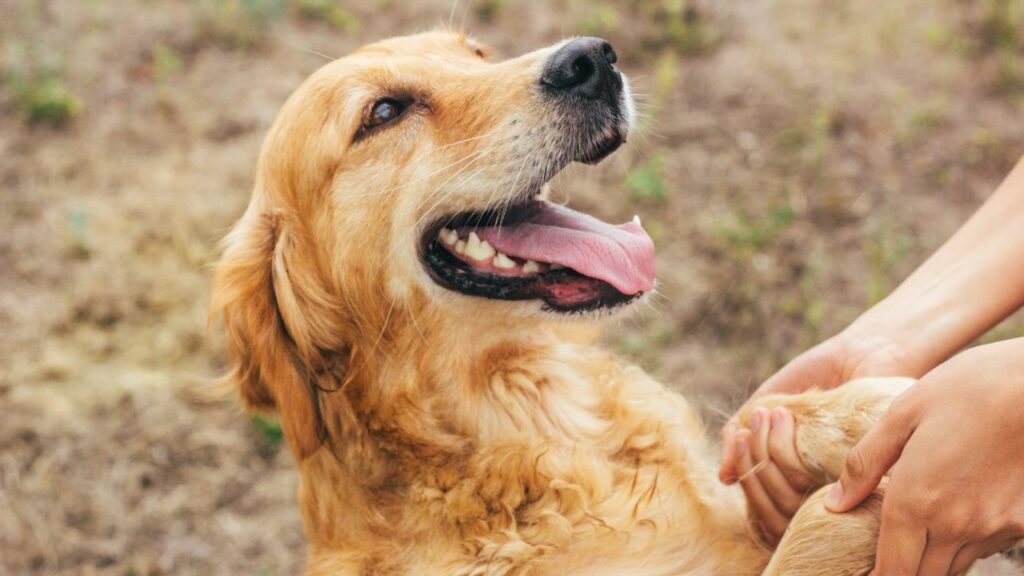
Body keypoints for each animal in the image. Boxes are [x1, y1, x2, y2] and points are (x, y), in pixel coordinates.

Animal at [211, 31, 946, 573]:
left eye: (476, 54)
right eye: (384, 112)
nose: (591, 59)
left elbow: (753, 419)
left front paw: (861, 409)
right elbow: (821, 524)